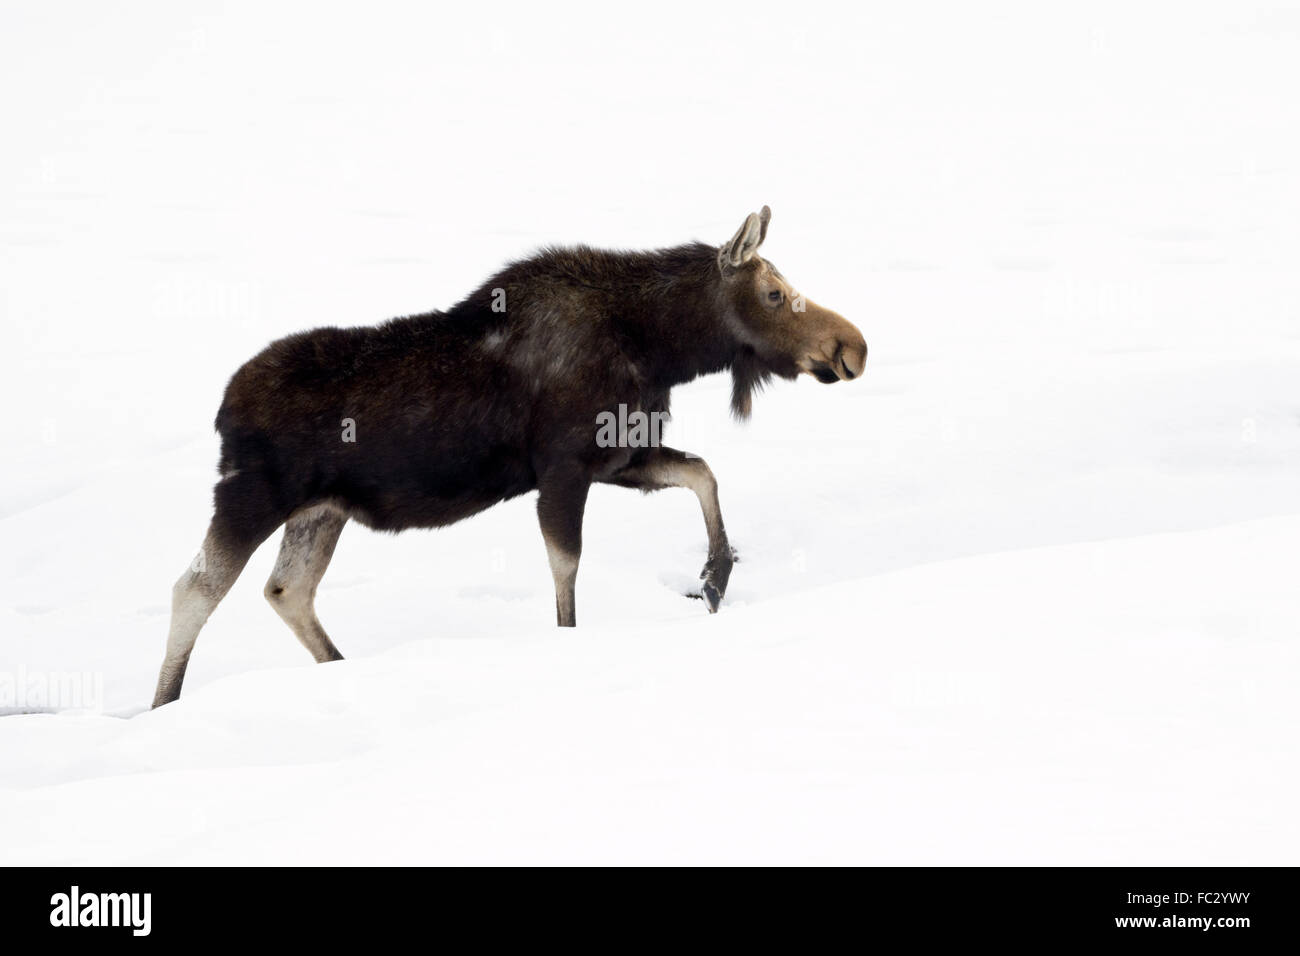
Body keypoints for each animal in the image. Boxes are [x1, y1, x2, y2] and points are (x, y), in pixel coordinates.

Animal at [149, 205, 863, 707]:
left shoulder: (617, 458)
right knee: (196, 586)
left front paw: (714, 576)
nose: (851, 346)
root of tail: (223, 410)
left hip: (322, 510)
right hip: (251, 495)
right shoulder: (565, 469)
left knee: (287, 588)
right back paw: (163, 703)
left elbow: (702, 472)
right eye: (773, 294)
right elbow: (566, 569)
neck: (661, 348)